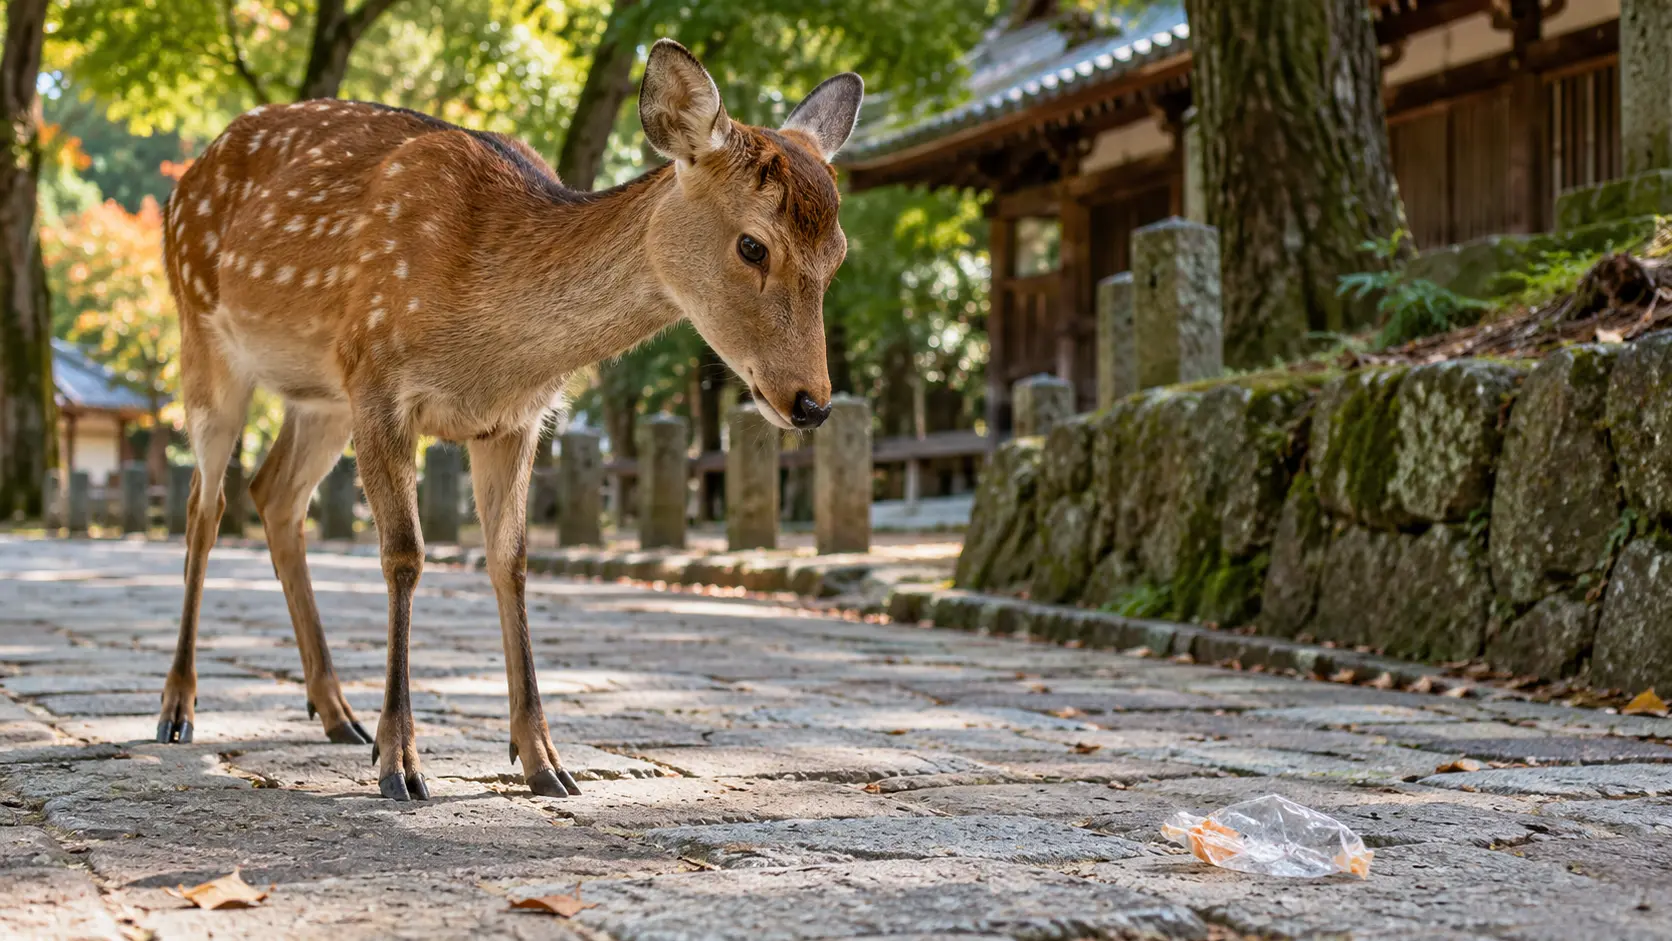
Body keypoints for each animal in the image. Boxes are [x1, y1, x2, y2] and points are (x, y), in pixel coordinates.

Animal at [159, 40, 862, 801]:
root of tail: (187, 181)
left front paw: (543, 759)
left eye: (838, 254)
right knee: (205, 505)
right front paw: (400, 761)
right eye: (753, 245)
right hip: (206, 337)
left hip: (320, 395)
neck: (490, 339)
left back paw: (335, 711)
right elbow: (404, 554)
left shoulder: (514, 420)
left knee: (275, 492)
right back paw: (178, 709)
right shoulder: (378, 380)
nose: (812, 401)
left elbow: (512, 561)